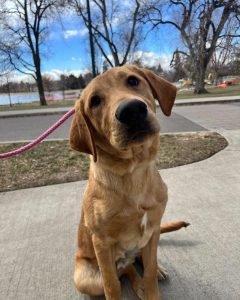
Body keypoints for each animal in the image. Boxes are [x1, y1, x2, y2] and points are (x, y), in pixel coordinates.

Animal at [70, 65, 188, 300]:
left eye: (133, 81)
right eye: (95, 101)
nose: (131, 110)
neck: (134, 172)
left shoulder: (152, 229)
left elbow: (149, 273)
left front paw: (152, 284)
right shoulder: (102, 243)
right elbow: (112, 285)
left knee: (136, 262)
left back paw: (155, 271)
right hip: (85, 278)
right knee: (124, 269)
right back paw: (137, 282)